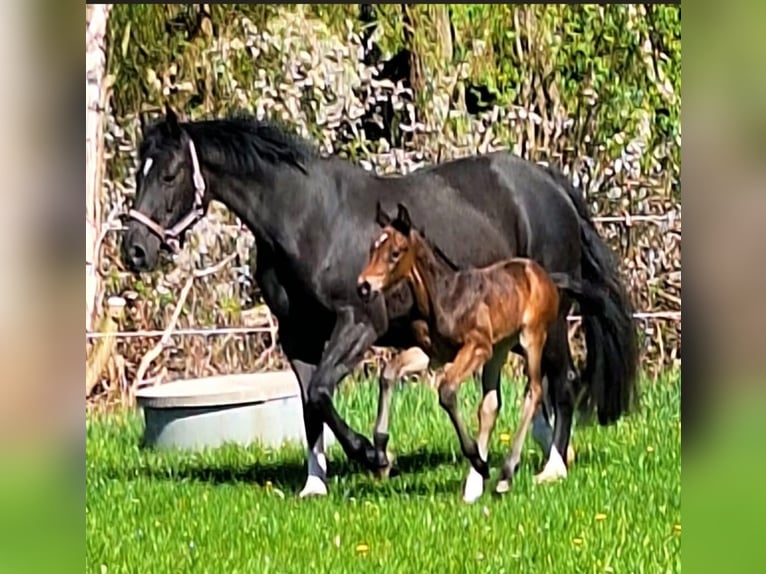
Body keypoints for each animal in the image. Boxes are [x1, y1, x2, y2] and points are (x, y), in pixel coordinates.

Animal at [358, 202, 612, 501]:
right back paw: (479, 484)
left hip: (531, 338)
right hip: (499, 350)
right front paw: (380, 453)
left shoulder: (476, 347)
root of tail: (546, 277)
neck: (446, 297)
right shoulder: (432, 354)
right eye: (372, 249)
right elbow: (388, 374)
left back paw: (505, 475)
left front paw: (479, 462)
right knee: (491, 404)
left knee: (534, 391)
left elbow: (447, 391)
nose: (364, 285)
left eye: (395, 253)